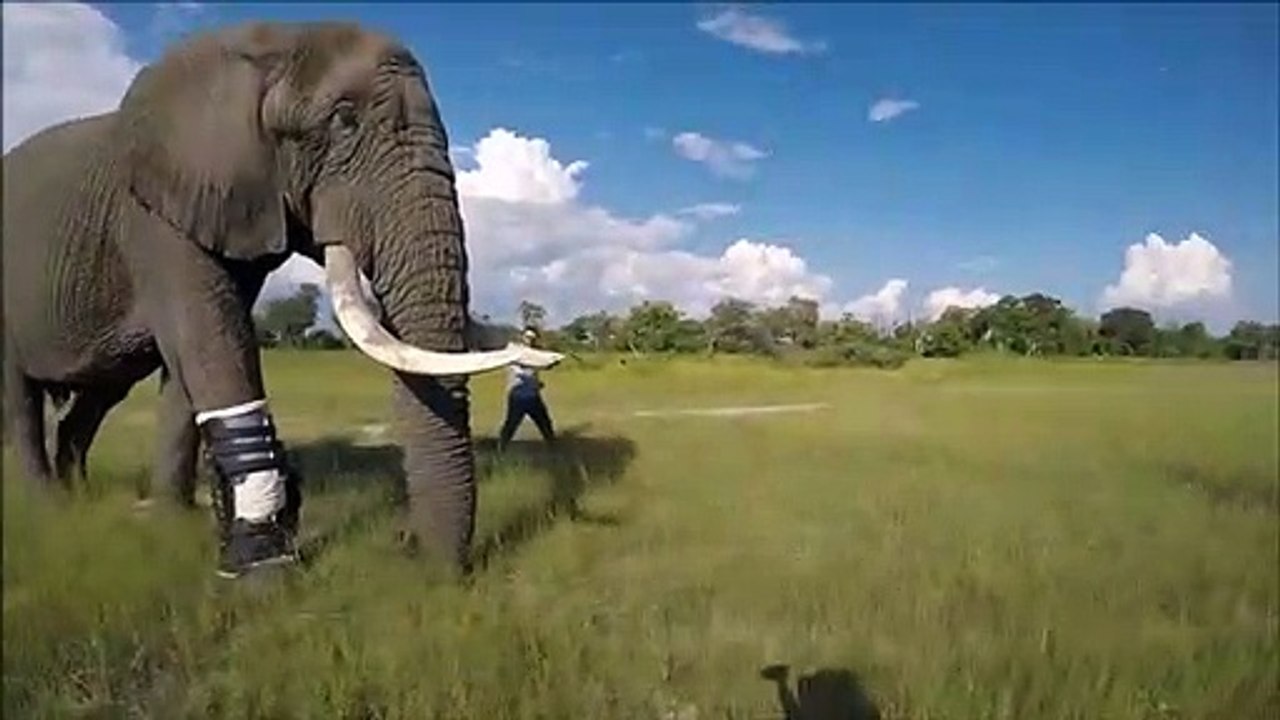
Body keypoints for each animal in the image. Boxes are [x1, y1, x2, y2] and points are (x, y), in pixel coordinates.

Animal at [1, 21, 562, 579]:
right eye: (344, 120)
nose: (407, 545)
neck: (274, 40)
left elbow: (194, 365)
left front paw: (173, 525)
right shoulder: (155, 216)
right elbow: (210, 342)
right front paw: (261, 563)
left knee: (96, 397)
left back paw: (78, 497)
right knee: (20, 400)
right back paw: (47, 508)